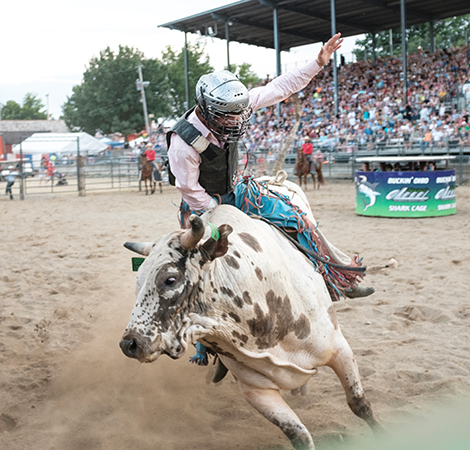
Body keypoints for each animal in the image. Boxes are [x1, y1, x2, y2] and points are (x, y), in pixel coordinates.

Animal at [120, 184, 386, 450]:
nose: (130, 344)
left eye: (170, 279)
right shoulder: (255, 390)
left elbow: (359, 403)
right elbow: (298, 434)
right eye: (137, 282)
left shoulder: (339, 349)